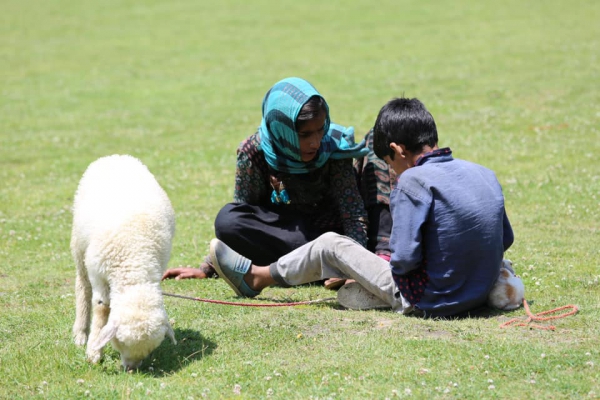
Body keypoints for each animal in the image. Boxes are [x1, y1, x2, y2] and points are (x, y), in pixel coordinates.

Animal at [71, 155, 176, 370]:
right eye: (121, 343)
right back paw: (80, 333)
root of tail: (114, 156)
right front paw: (93, 352)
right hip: (78, 245)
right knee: (82, 287)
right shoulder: (98, 274)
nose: (131, 370)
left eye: (150, 350)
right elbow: (101, 309)